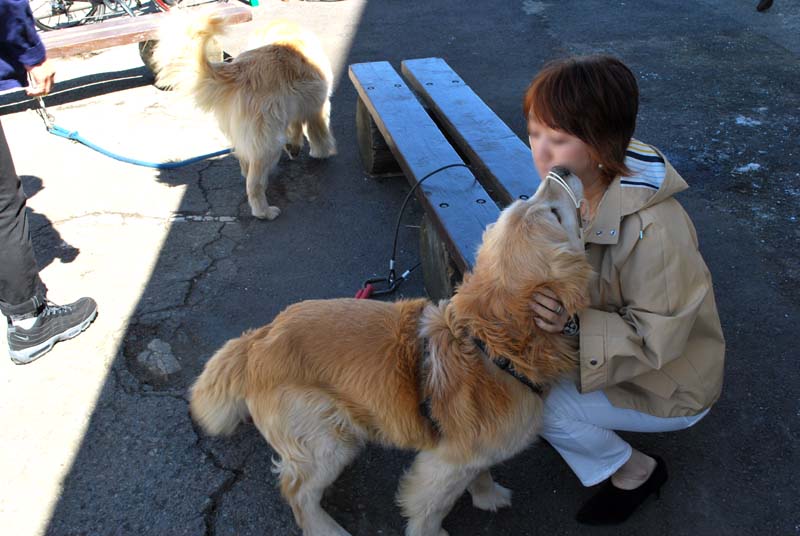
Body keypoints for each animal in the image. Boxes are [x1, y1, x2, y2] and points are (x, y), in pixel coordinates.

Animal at [153, 14, 334, 220]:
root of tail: (239, 71)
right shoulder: (318, 107)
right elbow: (319, 132)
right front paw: (321, 152)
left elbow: (295, 127)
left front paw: (294, 147)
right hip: (268, 141)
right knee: (254, 183)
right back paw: (264, 211)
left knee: (245, 164)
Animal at [191, 173, 592, 536]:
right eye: (555, 213)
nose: (560, 169)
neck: (494, 345)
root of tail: (258, 340)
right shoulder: (445, 463)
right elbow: (431, 507)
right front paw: (435, 531)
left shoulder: (477, 448)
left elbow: (481, 470)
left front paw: (488, 495)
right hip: (329, 438)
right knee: (297, 492)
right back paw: (327, 529)